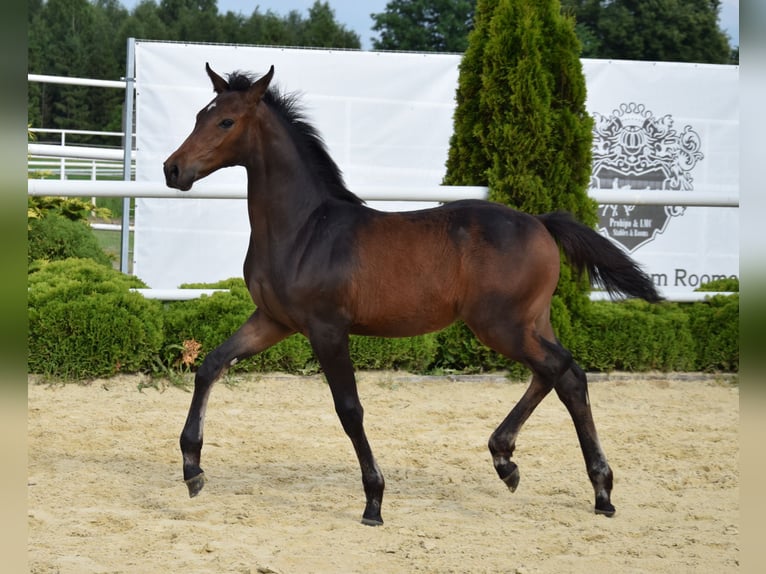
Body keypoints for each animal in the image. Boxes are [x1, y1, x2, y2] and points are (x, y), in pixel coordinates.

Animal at [165, 63, 664, 528]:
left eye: (226, 121)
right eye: (199, 115)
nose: (173, 170)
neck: (304, 230)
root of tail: (542, 221)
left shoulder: (326, 329)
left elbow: (349, 409)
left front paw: (374, 500)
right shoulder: (274, 320)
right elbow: (211, 365)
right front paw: (192, 468)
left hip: (501, 326)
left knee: (562, 369)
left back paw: (569, 479)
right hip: (529, 322)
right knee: (562, 376)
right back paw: (540, 471)